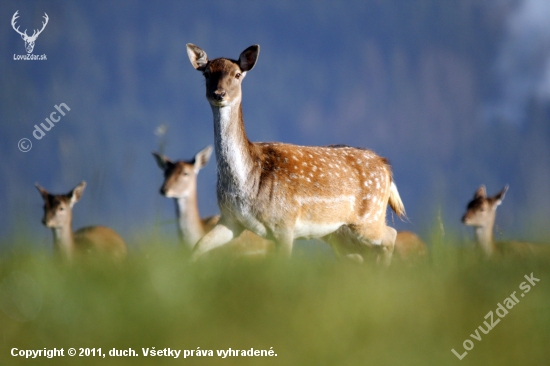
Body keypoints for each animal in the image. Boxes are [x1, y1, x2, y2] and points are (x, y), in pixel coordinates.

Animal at [185, 43, 406, 264]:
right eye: (206, 73)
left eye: (237, 74)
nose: (219, 94)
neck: (247, 185)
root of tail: (386, 167)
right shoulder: (230, 219)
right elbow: (197, 247)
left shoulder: (284, 223)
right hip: (340, 233)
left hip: (368, 218)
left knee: (390, 235)